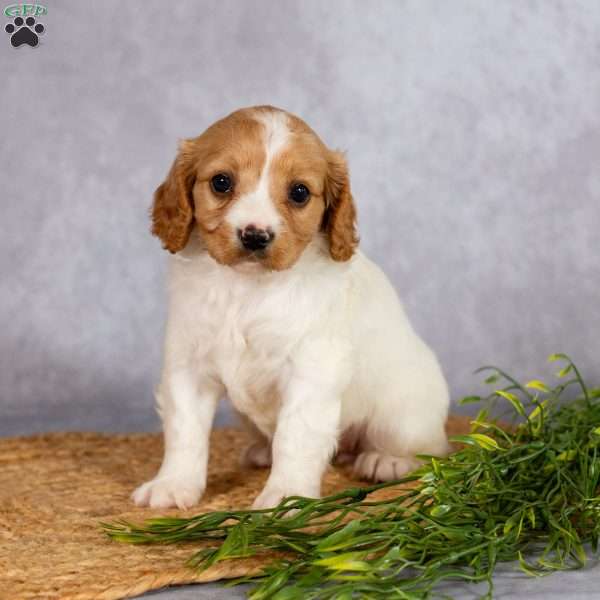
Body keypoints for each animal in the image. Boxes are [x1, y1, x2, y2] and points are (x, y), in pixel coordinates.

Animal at [132, 105, 450, 508]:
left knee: (427, 447)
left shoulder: (311, 371)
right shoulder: (188, 367)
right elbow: (184, 431)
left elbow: (295, 437)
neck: (247, 290)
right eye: (221, 182)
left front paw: (287, 496)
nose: (255, 236)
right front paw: (173, 484)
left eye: (299, 192)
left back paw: (386, 460)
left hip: (403, 413)